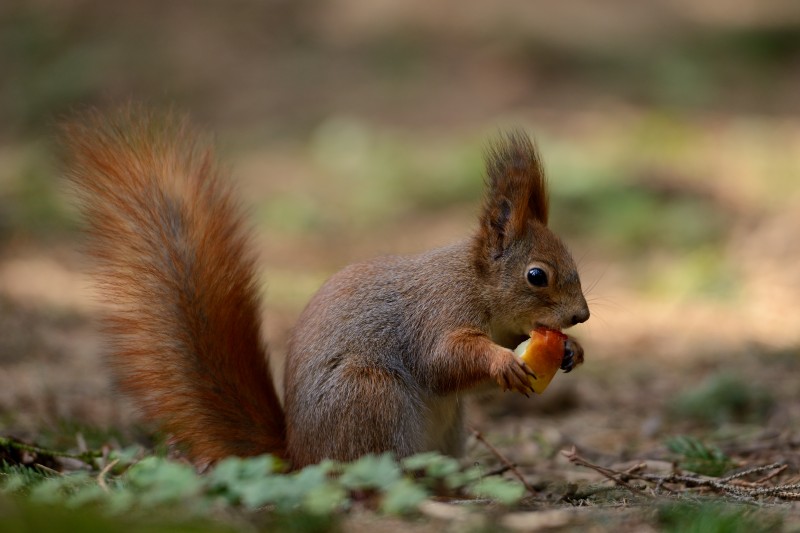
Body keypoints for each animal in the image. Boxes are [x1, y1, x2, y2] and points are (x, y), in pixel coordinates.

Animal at [61, 107, 588, 466]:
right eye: (536, 275)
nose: (580, 316)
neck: (475, 285)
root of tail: (299, 456)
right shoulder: (437, 313)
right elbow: (445, 359)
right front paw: (502, 361)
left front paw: (571, 350)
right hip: (371, 399)